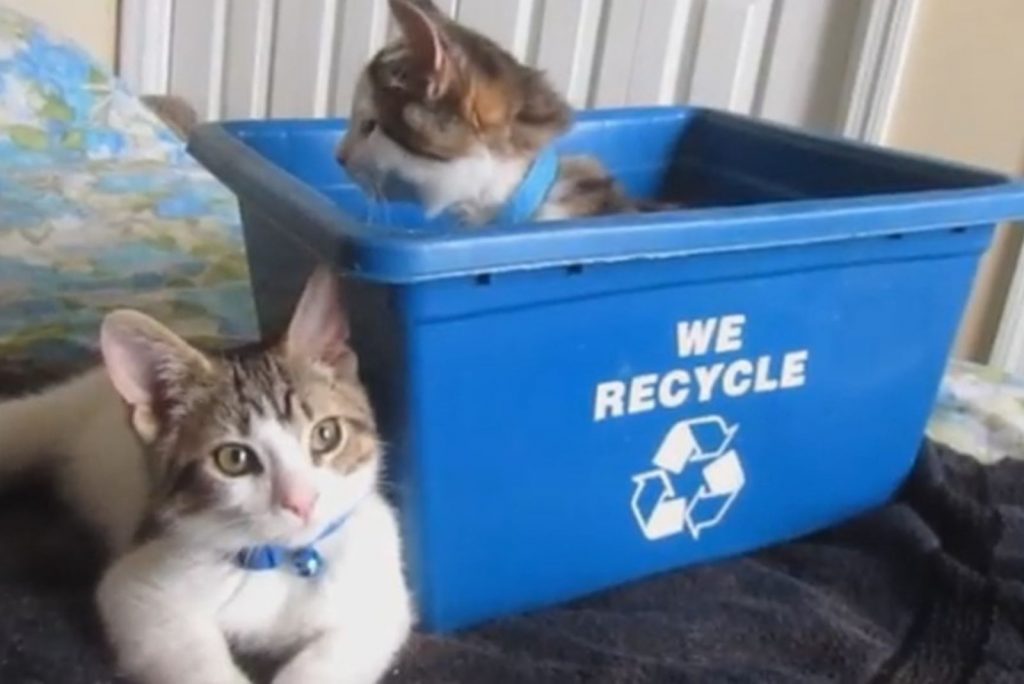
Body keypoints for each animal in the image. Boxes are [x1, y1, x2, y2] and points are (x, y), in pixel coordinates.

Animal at [0, 268, 411, 684]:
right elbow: (190, 656)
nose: (301, 501)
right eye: (234, 458)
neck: (279, 562)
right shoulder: (139, 589)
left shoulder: (378, 594)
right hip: (57, 414)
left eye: (326, 435)